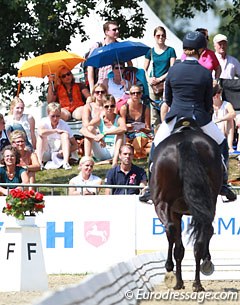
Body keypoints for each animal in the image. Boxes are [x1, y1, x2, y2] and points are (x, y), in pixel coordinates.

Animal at [151, 119, 222, 290]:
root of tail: (186, 141)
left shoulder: (175, 211)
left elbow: (178, 247)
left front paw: (178, 280)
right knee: (200, 239)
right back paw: (197, 283)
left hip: (161, 203)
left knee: (170, 229)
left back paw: (171, 271)